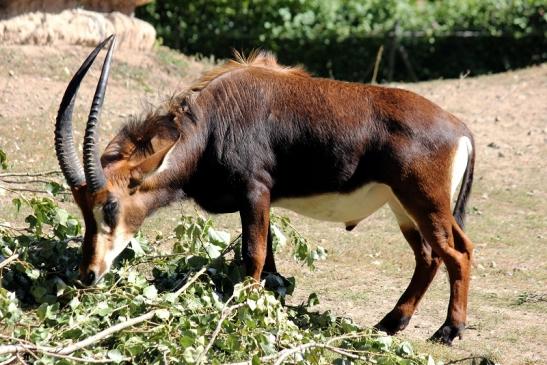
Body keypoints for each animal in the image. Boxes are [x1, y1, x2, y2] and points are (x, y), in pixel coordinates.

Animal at [56, 35, 476, 342]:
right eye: (82, 209)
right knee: (430, 256)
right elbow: (271, 262)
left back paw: (449, 330)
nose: (87, 275)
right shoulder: (260, 200)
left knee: (457, 252)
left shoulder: (254, 190)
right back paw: (392, 322)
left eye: (110, 206)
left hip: (422, 200)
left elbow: (254, 255)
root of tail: (459, 129)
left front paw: (244, 312)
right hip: (404, 206)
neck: (210, 123)